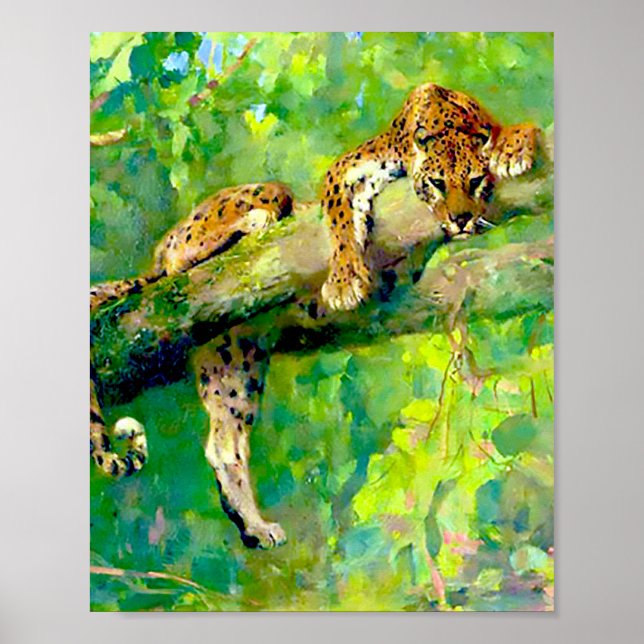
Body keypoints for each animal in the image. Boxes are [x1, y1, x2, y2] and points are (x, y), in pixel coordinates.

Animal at [320, 82, 538, 311]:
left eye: (475, 181)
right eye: (437, 183)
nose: (461, 220)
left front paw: (514, 146)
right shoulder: (351, 165)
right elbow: (339, 216)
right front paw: (343, 282)